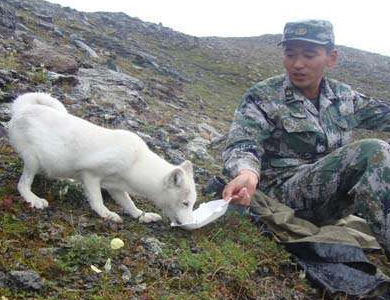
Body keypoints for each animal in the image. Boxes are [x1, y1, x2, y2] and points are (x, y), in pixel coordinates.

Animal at [8, 92, 198, 224]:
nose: (191, 224)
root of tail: (22, 108)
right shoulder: (90, 174)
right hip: (32, 160)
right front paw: (107, 214)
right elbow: (97, 200)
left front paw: (142, 215)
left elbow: (129, 205)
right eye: (185, 203)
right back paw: (33, 198)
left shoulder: (116, 188)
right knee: (22, 184)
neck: (136, 162)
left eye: (192, 204)